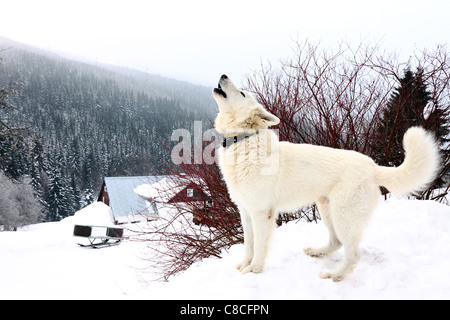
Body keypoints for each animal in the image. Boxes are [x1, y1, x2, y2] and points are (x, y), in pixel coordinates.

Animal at [213, 74, 442, 280]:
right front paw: (243, 265)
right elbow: (249, 245)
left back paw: (336, 275)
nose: (223, 75)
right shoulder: (246, 212)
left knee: (353, 253)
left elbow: (259, 247)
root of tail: (373, 167)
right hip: (327, 209)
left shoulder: (262, 213)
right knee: (336, 242)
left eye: (242, 93)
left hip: (343, 216)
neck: (243, 140)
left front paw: (254, 270)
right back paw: (318, 252)